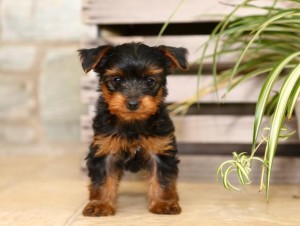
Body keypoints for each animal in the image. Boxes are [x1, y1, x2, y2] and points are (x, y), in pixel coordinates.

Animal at [79, 42, 188, 217]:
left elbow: (162, 179)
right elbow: (103, 180)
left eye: (150, 81)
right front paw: (100, 205)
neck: (132, 122)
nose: (132, 103)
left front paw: (163, 203)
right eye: (117, 80)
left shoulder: (160, 150)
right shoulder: (104, 149)